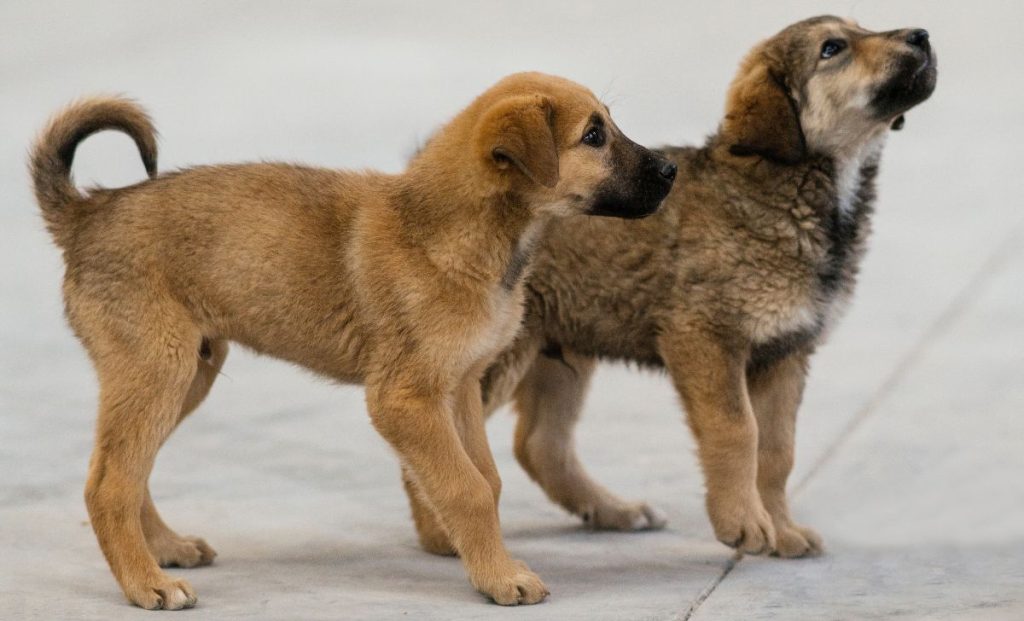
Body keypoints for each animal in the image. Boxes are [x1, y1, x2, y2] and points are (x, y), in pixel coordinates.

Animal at [28, 71, 675, 606]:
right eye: (594, 136)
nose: (671, 171)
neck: (453, 232)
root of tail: (88, 212)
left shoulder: (460, 385)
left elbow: (486, 480)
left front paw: (480, 558)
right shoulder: (403, 400)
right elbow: (465, 487)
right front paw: (500, 578)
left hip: (186, 373)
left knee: (121, 470)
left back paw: (165, 549)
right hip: (158, 370)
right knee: (110, 484)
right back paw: (147, 585)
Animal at [471, 17, 937, 561]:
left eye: (862, 28)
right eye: (832, 48)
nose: (922, 35)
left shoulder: (786, 351)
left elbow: (777, 450)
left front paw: (782, 529)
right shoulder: (706, 338)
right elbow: (738, 431)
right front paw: (744, 523)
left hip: (562, 346)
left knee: (540, 443)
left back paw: (614, 511)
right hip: (501, 355)